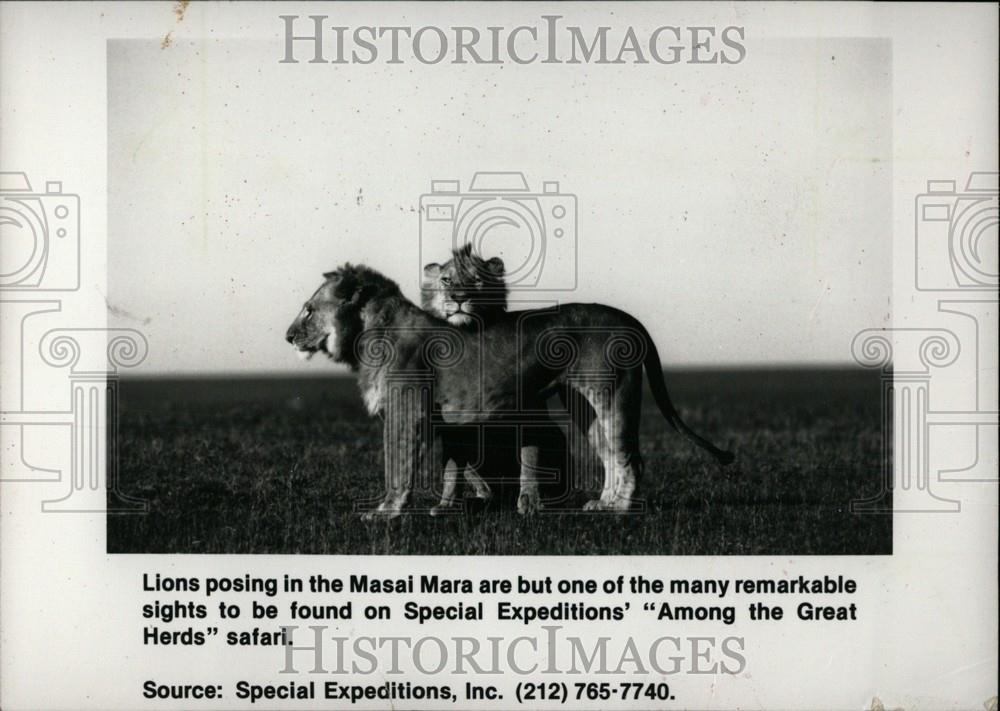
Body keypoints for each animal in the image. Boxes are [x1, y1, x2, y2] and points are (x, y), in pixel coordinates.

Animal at [286, 262, 732, 516]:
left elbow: (398, 465)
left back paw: (620, 510)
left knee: (630, 458)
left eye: (308, 310)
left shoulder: (405, 412)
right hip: (584, 405)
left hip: (613, 394)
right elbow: (450, 468)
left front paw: (386, 512)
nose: (289, 336)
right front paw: (439, 508)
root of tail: (628, 318)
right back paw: (602, 504)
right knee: (608, 455)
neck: (365, 338)